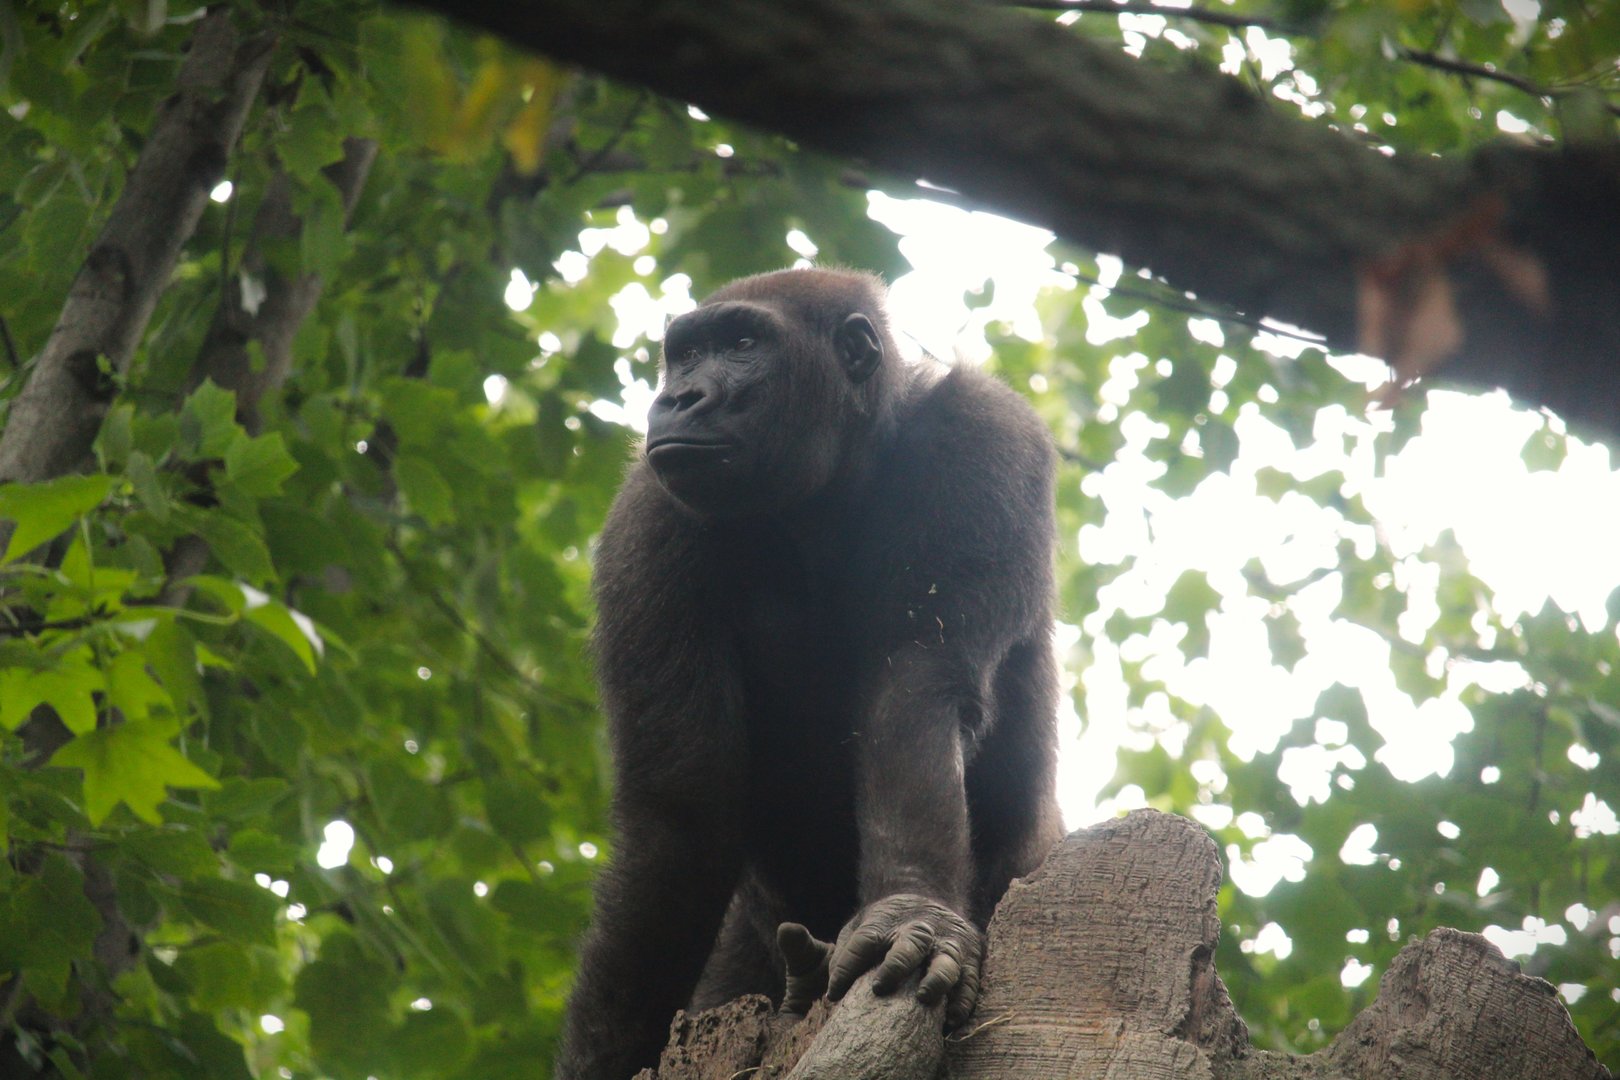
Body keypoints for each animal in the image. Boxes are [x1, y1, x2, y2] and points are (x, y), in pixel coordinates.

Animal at [554, 268, 1063, 1080]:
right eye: (684, 354)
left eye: (741, 343)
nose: (680, 396)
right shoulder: (648, 514)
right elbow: (680, 814)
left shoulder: (985, 436)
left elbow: (918, 686)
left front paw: (909, 914)